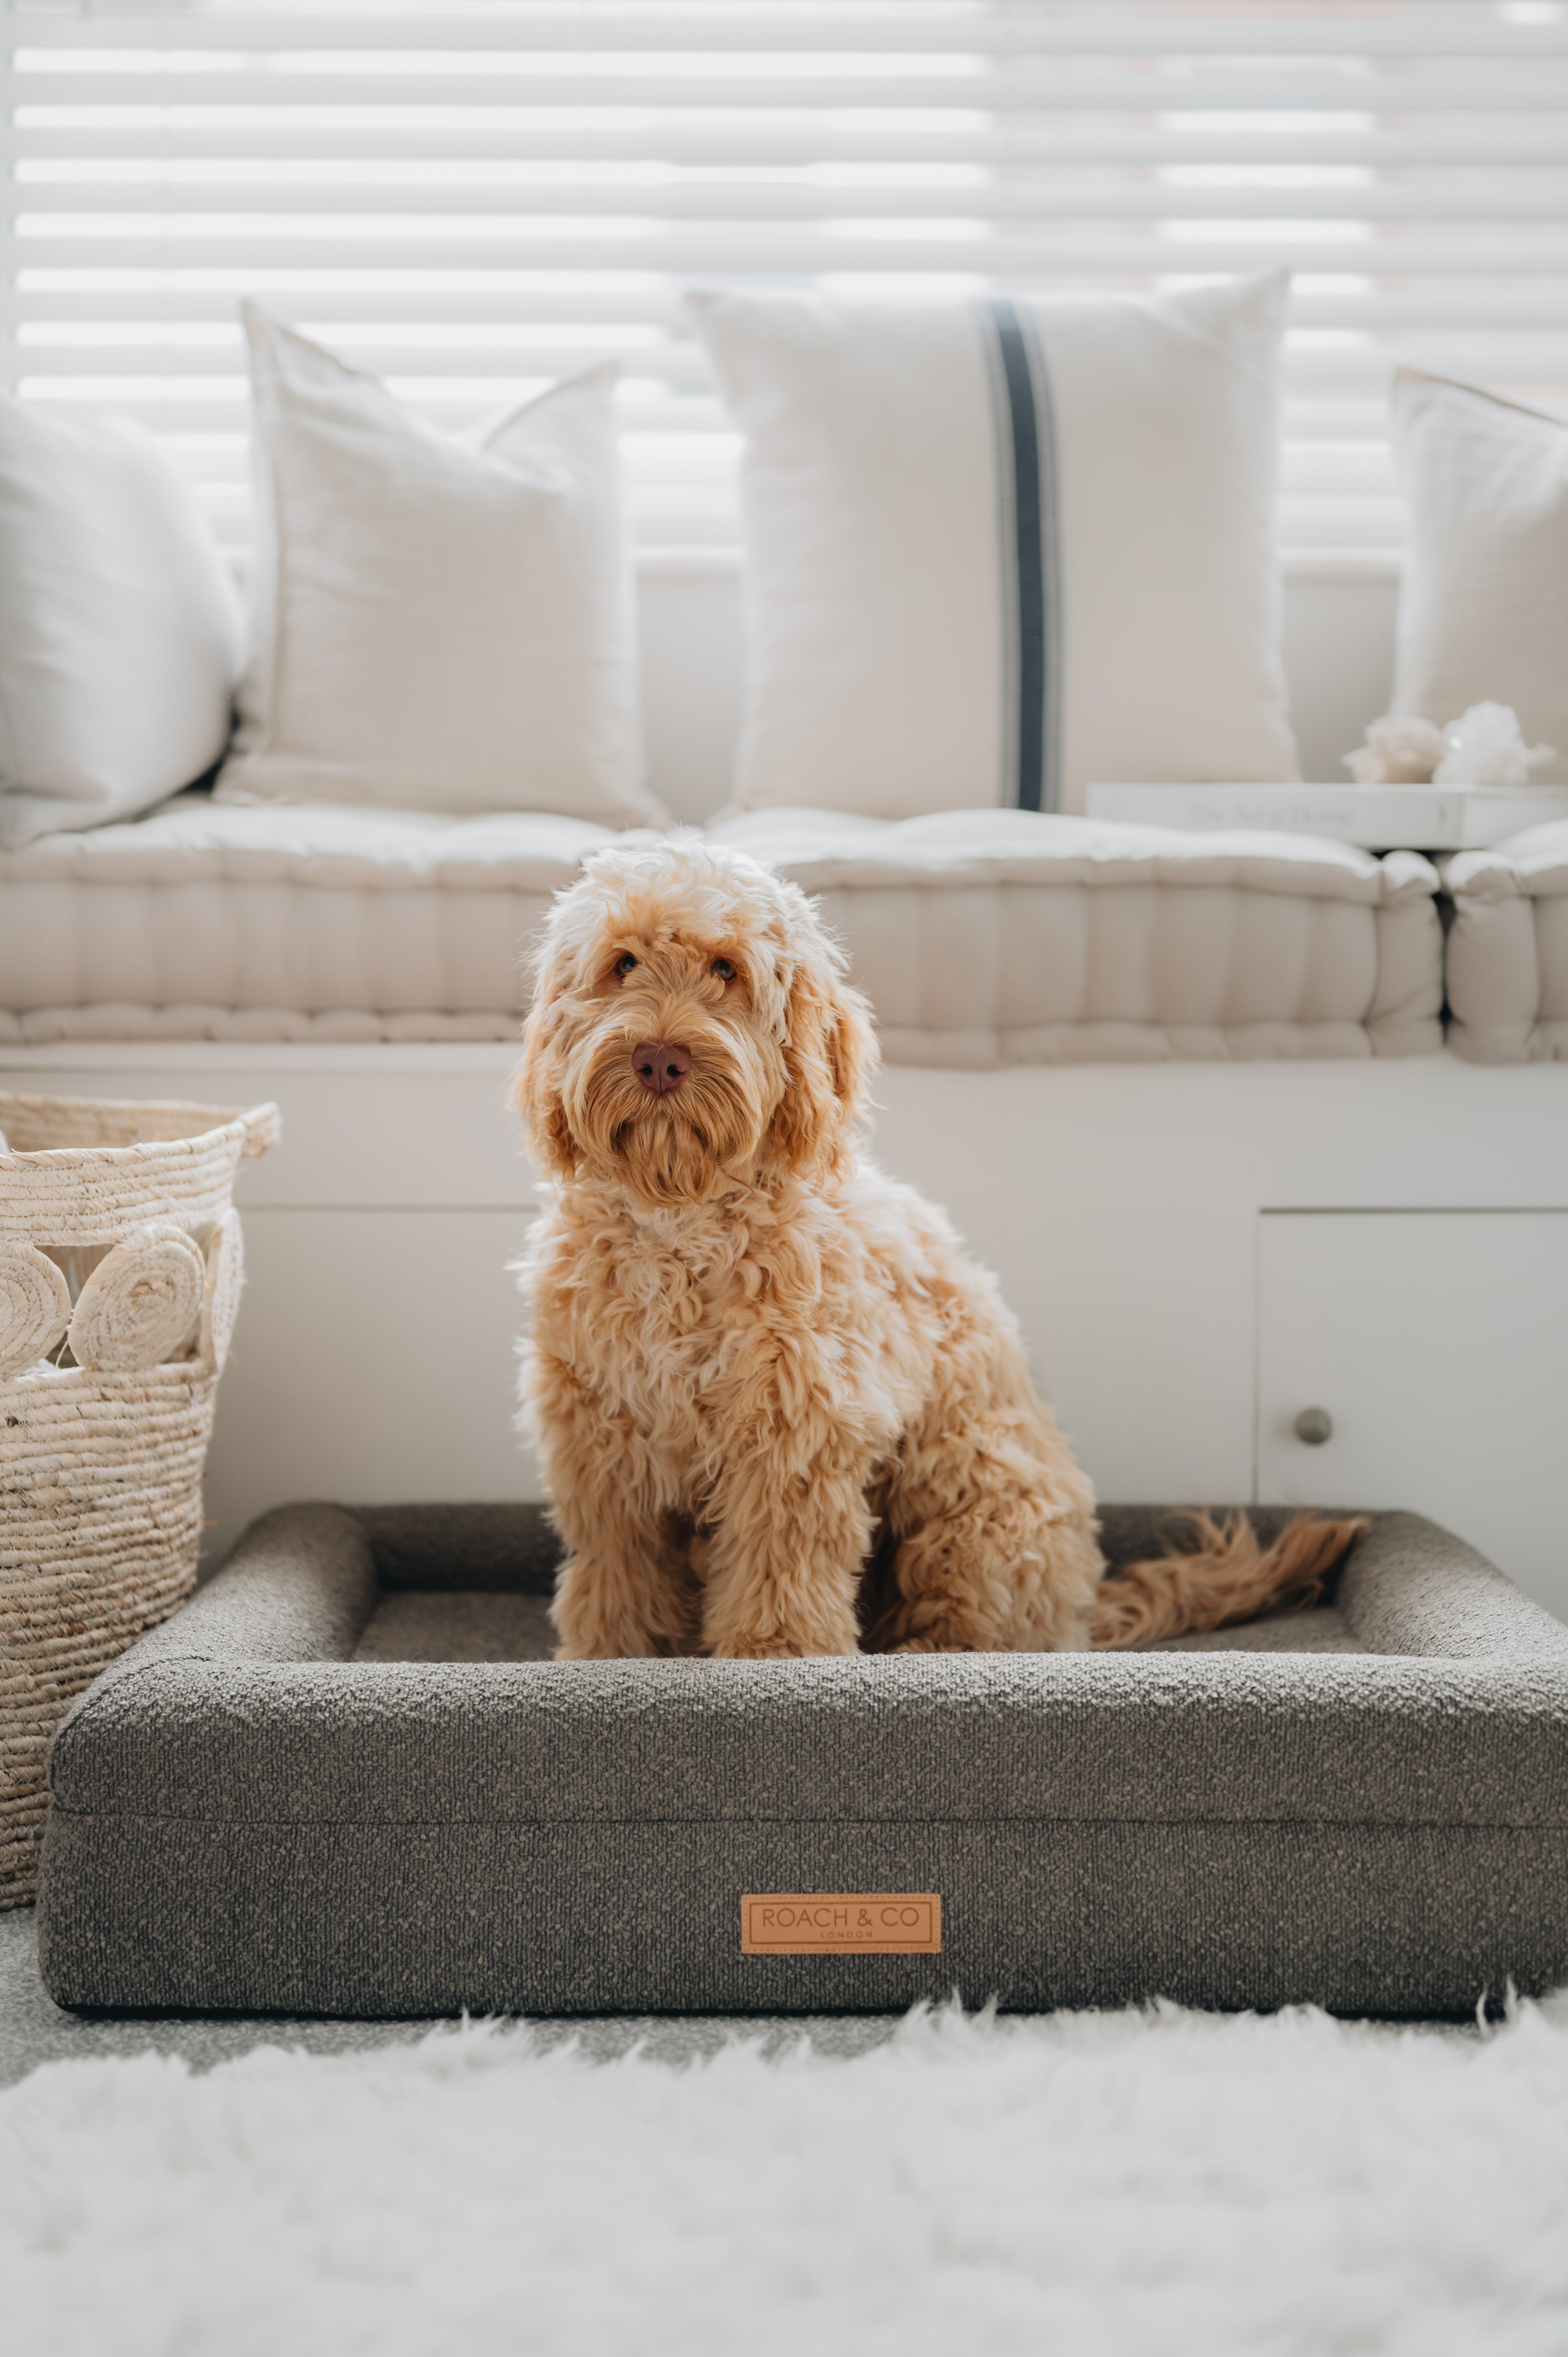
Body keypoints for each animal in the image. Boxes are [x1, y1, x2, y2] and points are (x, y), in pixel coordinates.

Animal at [511, 844, 1358, 1659]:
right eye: (622, 963)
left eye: (726, 969)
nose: (658, 1058)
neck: (678, 1219)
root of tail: (1085, 1610)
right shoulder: (601, 1440)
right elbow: (616, 1570)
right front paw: (610, 1654)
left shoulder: (796, 1430)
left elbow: (779, 1564)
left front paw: (773, 1654)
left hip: (977, 1504)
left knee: (978, 1629)